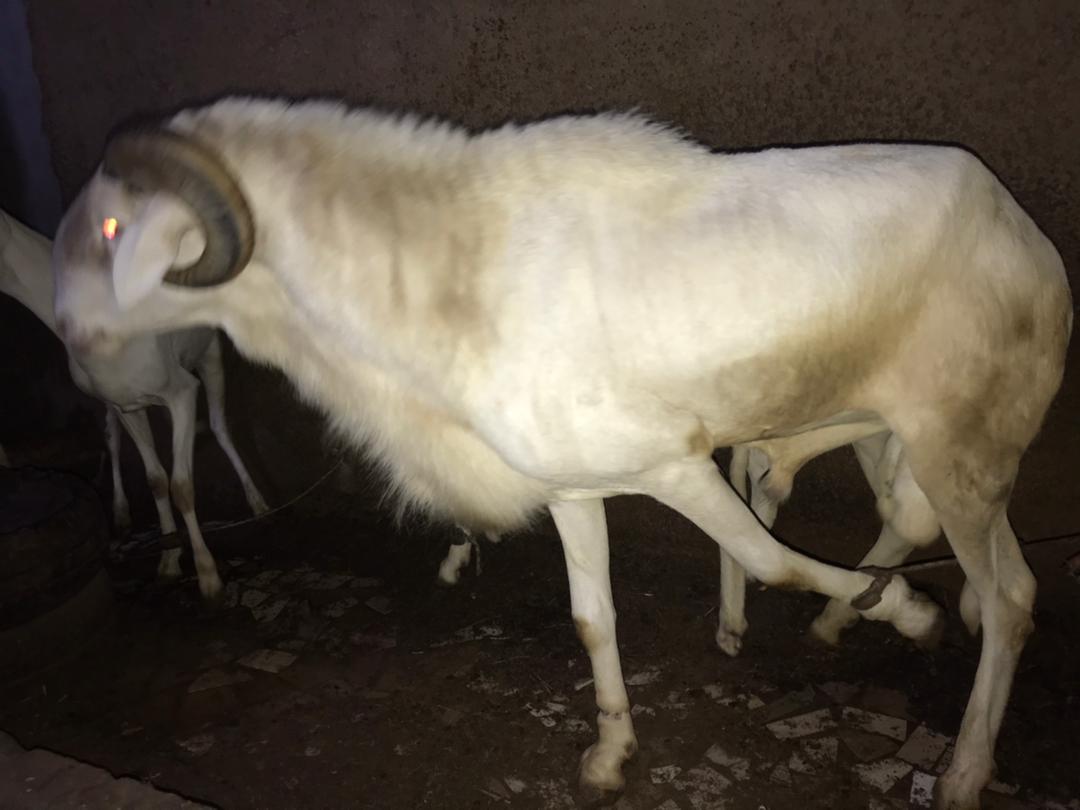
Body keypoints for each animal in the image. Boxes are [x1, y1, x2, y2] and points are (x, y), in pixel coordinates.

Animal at [1, 207, 267, 599]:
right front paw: (168, 564)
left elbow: (182, 485)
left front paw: (208, 576)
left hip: (210, 352)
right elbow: (156, 479)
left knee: (220, 424)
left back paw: (258, 503)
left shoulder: (181, 391)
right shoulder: (127, 404)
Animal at [50, 98, 1071, 810]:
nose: (64, 330)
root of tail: (1030, 242)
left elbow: (766, 557)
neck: (443, 275)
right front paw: (610, 756)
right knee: (931, 536)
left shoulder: (672, 466)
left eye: (111, 230)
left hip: (962, 449)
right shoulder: (575, 487)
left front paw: (902, 614)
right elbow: (592, 620)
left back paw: (961, 763)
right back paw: (844, 628)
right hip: (899, 438)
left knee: (1010, 597)